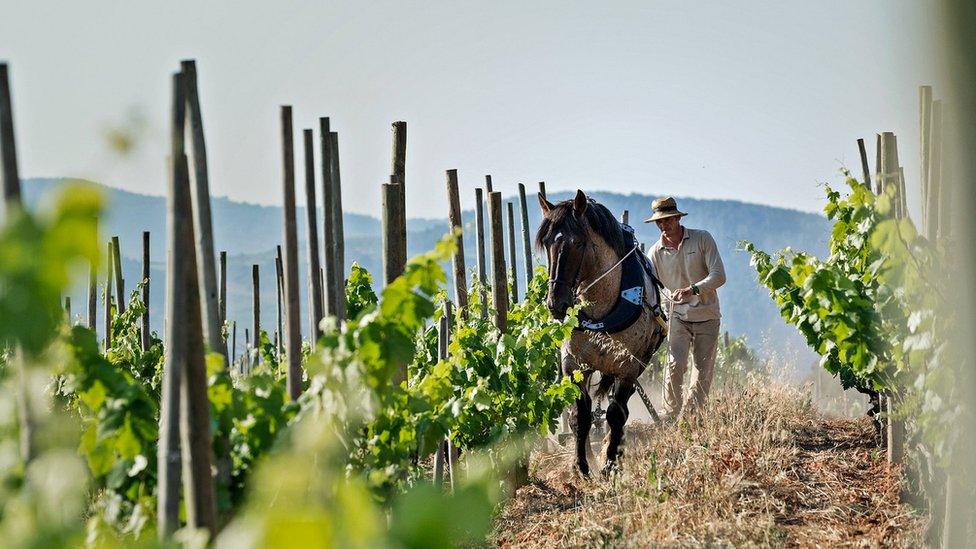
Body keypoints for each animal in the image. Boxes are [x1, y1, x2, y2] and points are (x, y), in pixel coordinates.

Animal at [532, 191, 672, 474]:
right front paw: (582, 465)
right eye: (547, 243)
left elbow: (616, 415)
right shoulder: (574, 365)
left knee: (619, 410)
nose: (556, 304)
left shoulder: (627, 367)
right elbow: (580, 416)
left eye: (577, 243)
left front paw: (610, 463)